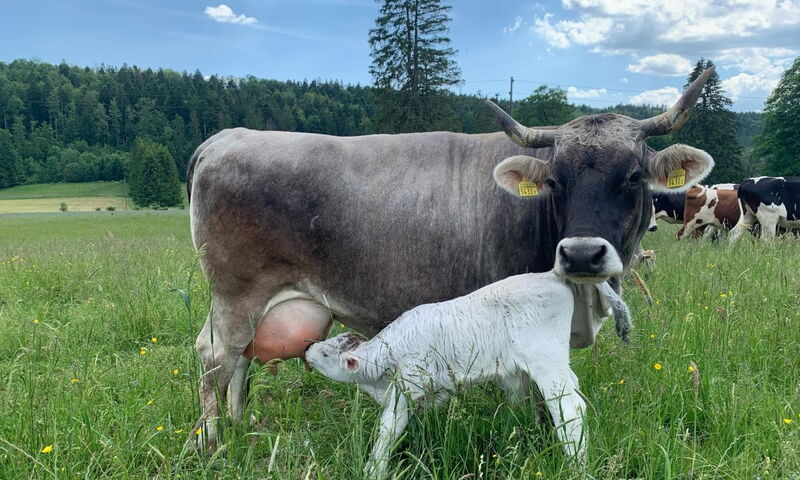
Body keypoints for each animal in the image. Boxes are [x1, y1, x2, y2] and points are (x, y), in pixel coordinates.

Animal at [187, 69, 715, 447]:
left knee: (237, 363)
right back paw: (213, 443)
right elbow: (525, 394)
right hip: (237, 294)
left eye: (632, 176)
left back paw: (239, 428)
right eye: (555, 180)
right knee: (215, 358)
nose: (582, 254)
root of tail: (227, 137)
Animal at [306, 271, 631, 478]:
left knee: (570, 409)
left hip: (546, 362)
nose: (308, 348)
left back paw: (576, 466)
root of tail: (554, 275)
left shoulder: (406, 386)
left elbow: (388, 429)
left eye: (326, 355)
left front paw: (374, 469)